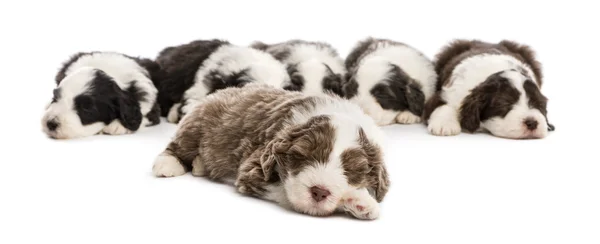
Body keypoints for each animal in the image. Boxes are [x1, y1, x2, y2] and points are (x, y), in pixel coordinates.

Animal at [152, 83, 392, 219]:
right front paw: (356, 200)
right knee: (179, 144)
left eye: (351, 170)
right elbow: (287, 192)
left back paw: (200, 165)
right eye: (301, 156)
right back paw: (167, 164)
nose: (319, 192)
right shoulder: (253, 169)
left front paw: (360, 203)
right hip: (196, 125)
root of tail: (217, 93)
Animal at [424, 39, 556, 139]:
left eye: (539, 105)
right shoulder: (447, 93)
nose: (532, 123)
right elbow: (442, 105)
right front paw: (444, 125)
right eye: (505, 104)